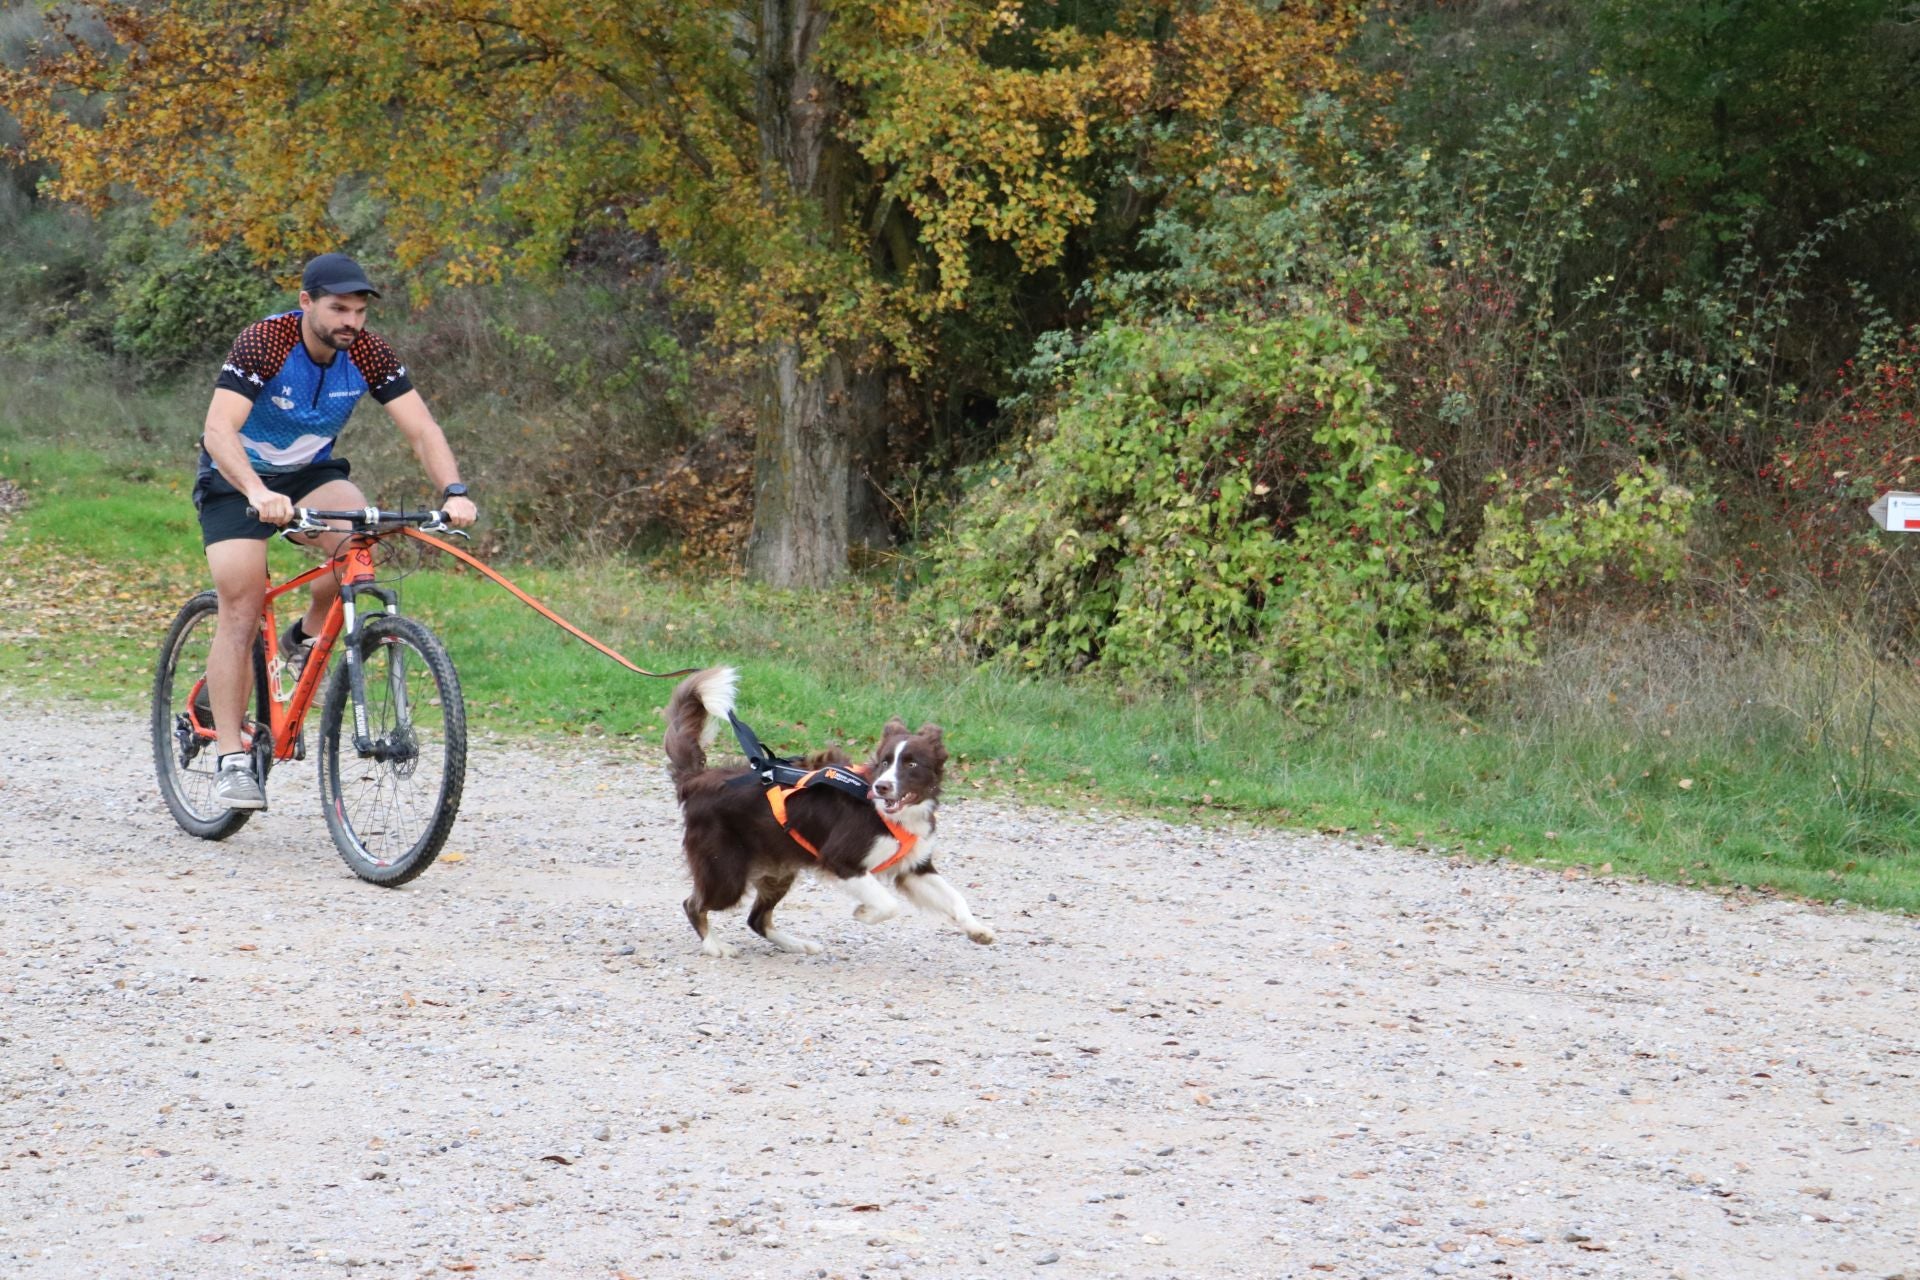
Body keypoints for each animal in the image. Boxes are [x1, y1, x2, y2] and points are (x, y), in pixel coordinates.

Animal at [664, 671, 998, 951]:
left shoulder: (913, 868)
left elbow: (955, 896)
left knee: (756, 919)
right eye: (885, 762)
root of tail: (696, 780)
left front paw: (977, 929)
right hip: (726, 872)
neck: (889, 814)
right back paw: (715, 946)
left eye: (912, 764)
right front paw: (864, 912)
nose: (882, 788)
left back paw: (796, 944)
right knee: (692, 904)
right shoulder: (842, 860)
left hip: (778, 869)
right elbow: (888, 904)